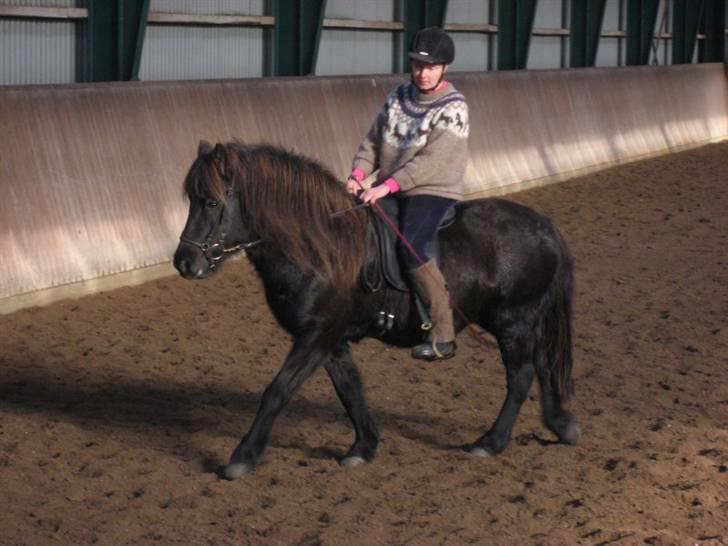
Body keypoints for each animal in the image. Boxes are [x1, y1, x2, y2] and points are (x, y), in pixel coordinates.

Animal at [172, 139, 580, 476]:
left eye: (211, 202)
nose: (185, 263)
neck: (321, 249)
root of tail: (545, 226)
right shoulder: (330, 339)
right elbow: (351, 390)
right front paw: (363, 447)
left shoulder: (317, 336)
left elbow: (278, 389)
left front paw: (242, 457)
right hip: (519, 322)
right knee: (543, 363)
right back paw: (561, 424)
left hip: (513, 321)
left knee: (522, 374)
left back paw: (490, 442)